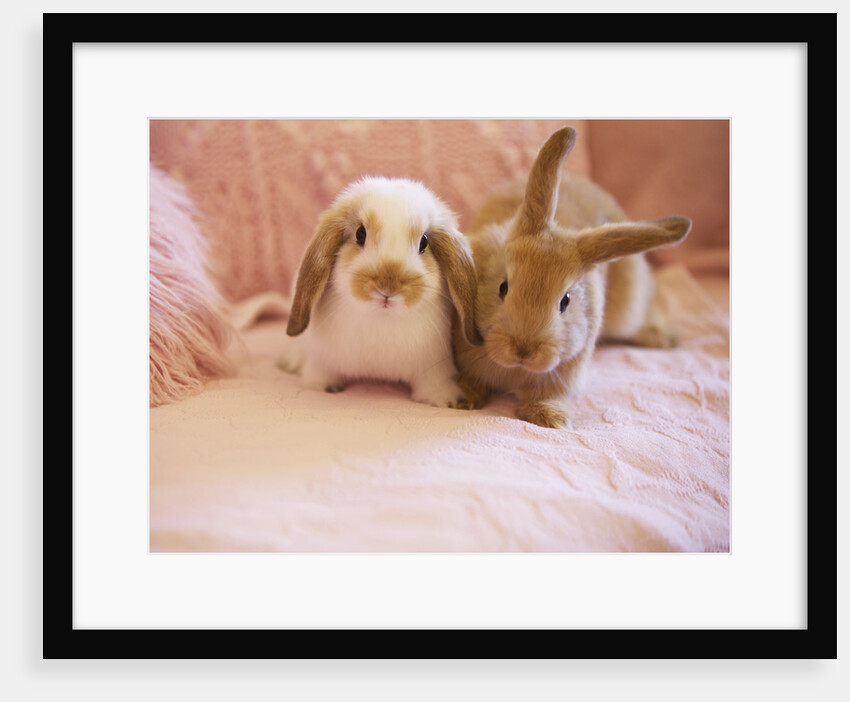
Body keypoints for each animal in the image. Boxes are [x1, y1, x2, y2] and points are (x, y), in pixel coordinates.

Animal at [278, 176, 483, 408]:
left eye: (424, 241)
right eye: (360, 234)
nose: (388, 287)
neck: (382, 318)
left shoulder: (434, 368)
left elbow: (435, 385)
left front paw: (447, 401)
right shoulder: (321, 360)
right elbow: (320, 375)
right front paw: (323, 387)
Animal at [452, 126, 692, 429]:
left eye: (565, 301)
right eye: (502, 288)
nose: (523, 350)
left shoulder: (562, 373)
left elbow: (546, 394)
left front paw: (551, 419)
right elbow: (472, 381)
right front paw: (464, 399)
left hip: (626, 310)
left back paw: (663, 337)